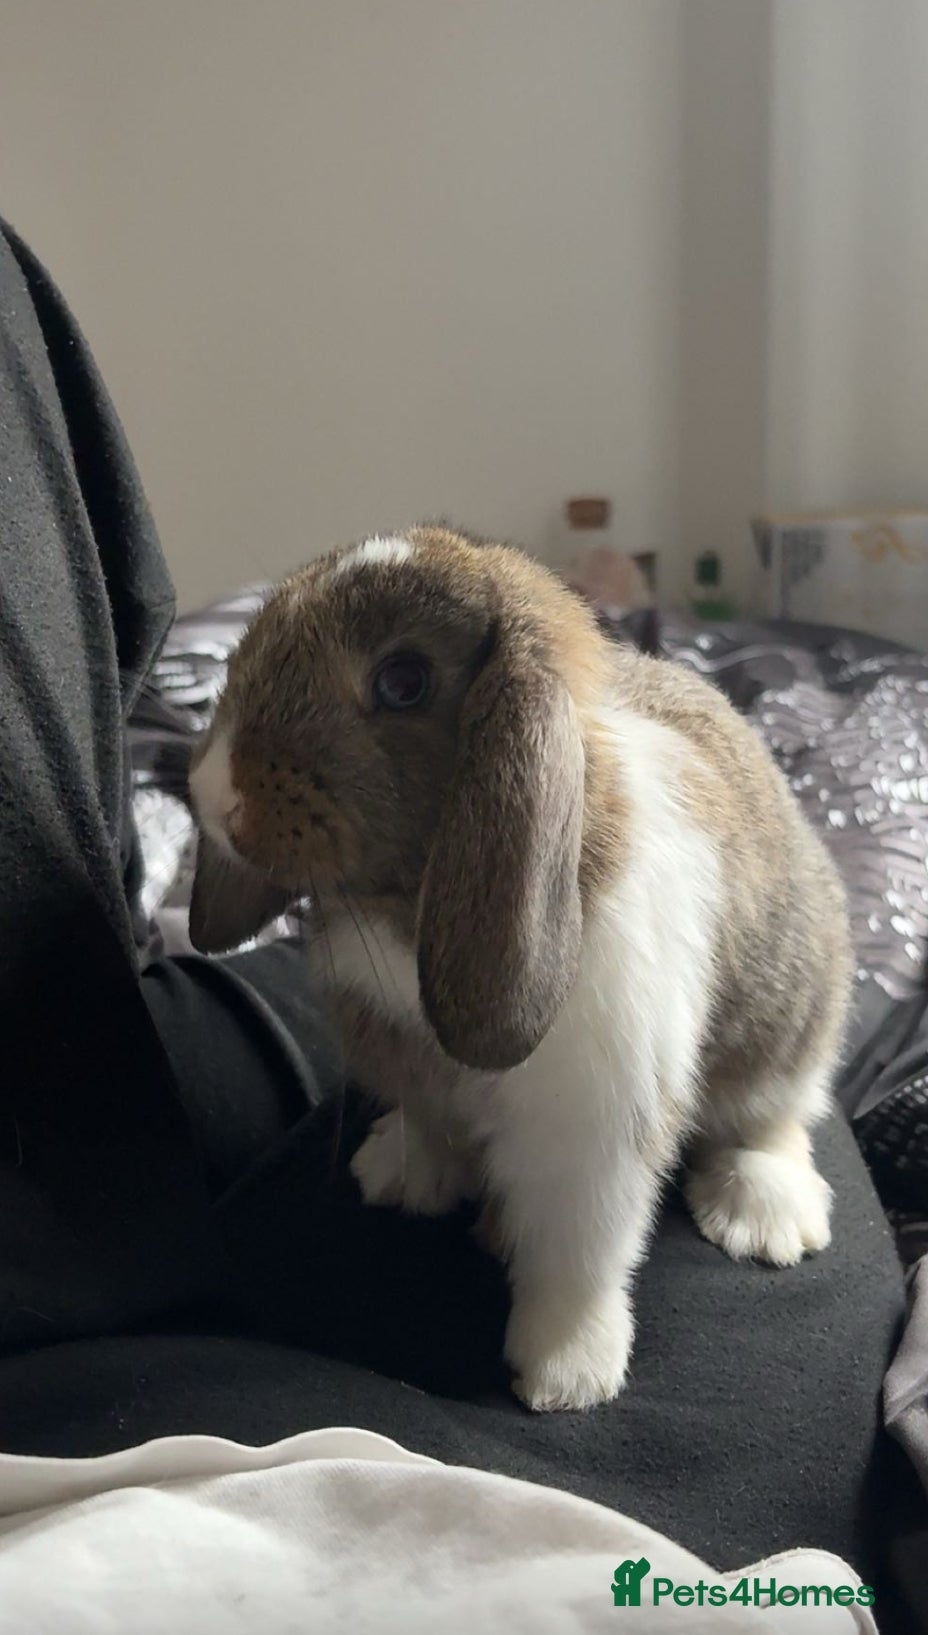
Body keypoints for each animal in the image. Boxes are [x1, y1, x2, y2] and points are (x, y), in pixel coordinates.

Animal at [187, 526, 852, 1413]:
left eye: (403, 681)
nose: (211, 788)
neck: (405, 910)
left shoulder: (592, 1127)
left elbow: (578, 1254)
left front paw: (564, 1375)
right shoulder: (416, 1069)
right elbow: (431, 1122)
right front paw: (404, 1176)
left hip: (792, 1027)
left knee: (777, 1118)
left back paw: (762, 1216)